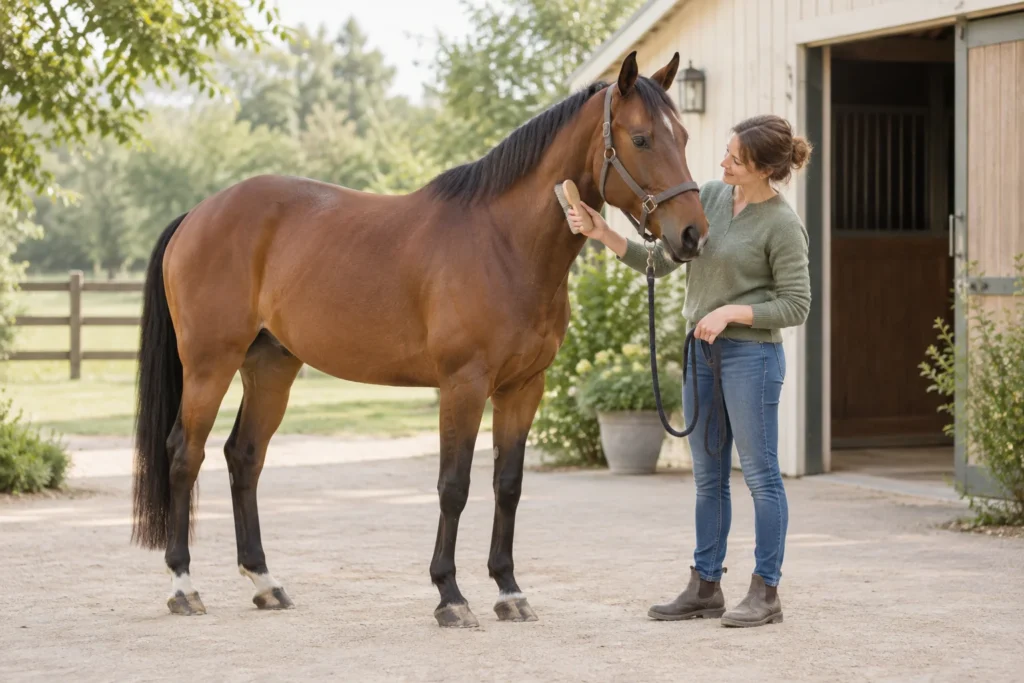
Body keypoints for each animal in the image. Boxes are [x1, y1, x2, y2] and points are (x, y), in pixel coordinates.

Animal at [130, 50, 709, 628]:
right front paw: (450, 595)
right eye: (641, 139)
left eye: (683, 136)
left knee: (244, 456)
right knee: (185, 454)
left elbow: (508, 484)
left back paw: (266, 582)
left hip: (272, 366)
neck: (504, 244)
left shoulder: (524, 388)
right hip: (210, 364)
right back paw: (184, 585)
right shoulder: (463, 386)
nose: (693, 235)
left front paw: (509, 590)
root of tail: (198, 214)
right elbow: (454, 486)